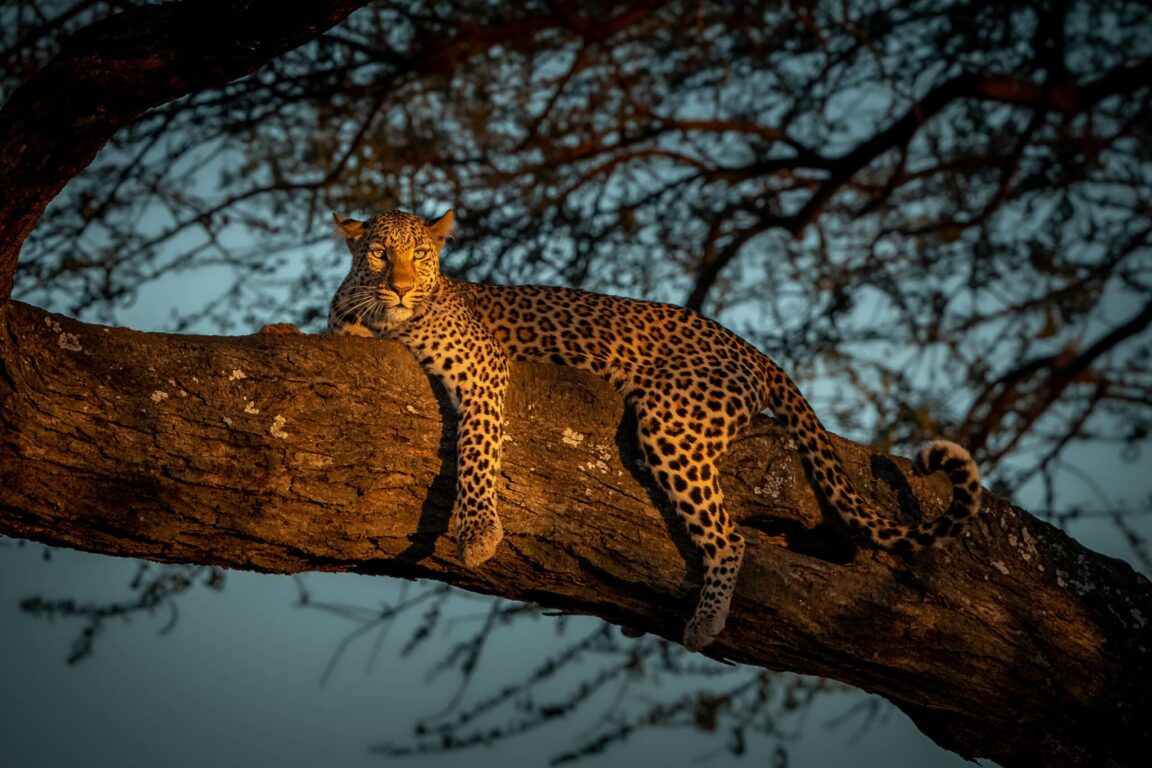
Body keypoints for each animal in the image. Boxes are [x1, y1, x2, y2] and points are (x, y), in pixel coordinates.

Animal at [327, 208, 983, 651]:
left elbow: (477, 450)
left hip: (671, 418)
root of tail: (747, 346)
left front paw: (480, 532)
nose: (400, 287)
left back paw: (706, 621)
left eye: (421, 255)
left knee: (730, 537)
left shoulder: (486, 368)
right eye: (379, 253)